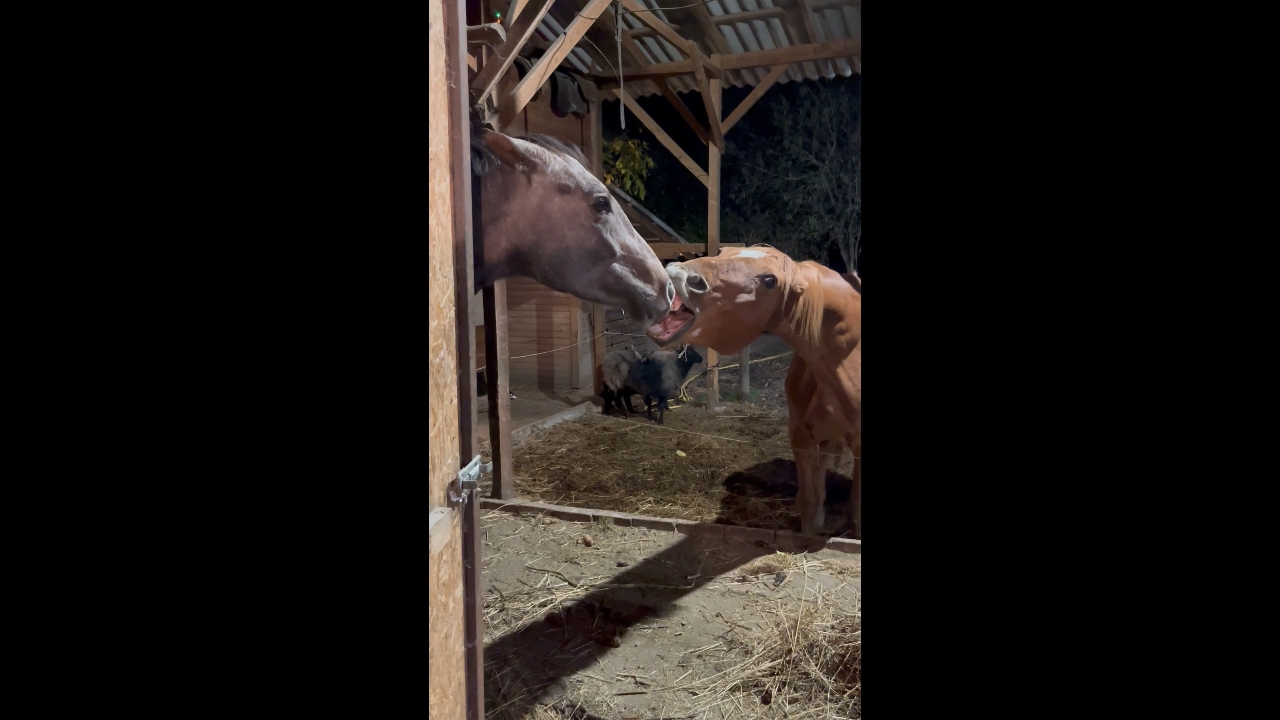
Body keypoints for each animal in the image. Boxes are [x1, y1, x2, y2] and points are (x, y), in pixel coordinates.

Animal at [646, 246, 861, 537]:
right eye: (722, 251)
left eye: (770, 281)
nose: (680, 274)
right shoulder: (801, 436)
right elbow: (811, 503)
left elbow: (855, 515)